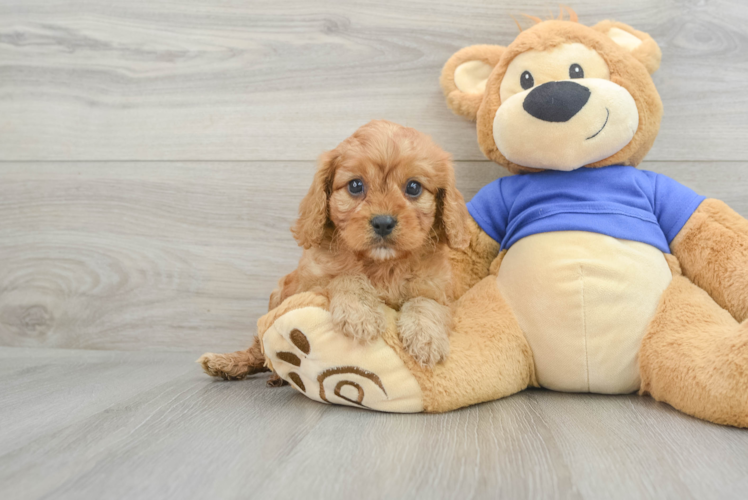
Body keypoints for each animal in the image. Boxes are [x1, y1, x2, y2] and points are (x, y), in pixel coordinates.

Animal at [199, 119, 468, 380]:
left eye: (413, 187)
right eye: (355, 185)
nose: (383, 222)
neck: (380, 263)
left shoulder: (438, 290)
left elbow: (426, 303)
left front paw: (426, 338)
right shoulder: (309, 284)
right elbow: (346, 277)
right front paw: (360, 314)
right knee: (259, 350)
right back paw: (230, 365)